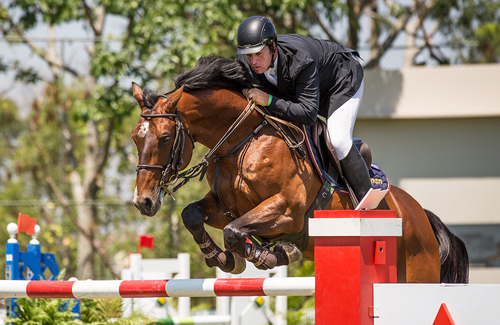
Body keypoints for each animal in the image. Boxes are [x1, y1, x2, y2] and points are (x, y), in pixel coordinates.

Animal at [132, 55, 468, 280]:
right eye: (136, 137)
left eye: (165, 138)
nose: (143, 202)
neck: (244, 142)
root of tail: (421, 216)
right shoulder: (226, 207)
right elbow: (193, 215)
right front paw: (225, 260)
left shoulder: (286, 210)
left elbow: (234, 232)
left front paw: (270, 255)